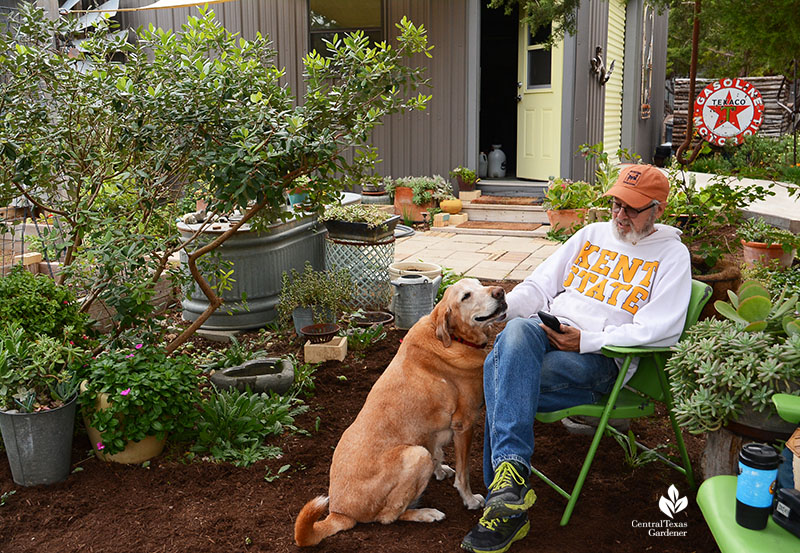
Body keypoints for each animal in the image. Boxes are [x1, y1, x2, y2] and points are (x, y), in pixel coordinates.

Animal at [294, 278, 506, 544]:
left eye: (479, 284)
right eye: (466, 296)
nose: (500, 292)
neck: (452, 339)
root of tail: (338, 512)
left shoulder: (431, 432)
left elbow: (438, 452)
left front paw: (441, 470)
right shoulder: (464, 424)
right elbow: (463, 473)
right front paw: (469, 499)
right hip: (416, 455)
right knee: (388, 517)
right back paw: (425, 513)